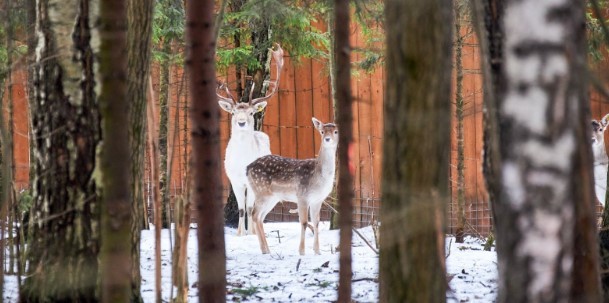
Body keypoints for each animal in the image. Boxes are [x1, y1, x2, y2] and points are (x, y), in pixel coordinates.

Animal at [218, 43, 284, 238]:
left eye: (251, 112)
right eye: (233, 112)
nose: (241, 122)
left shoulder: (251, 181)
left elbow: (248, 207)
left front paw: (250, 234)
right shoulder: (234, 179)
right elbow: (241, 209)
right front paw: (240, 234)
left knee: (256, 208)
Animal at [246, 117, 338, 255]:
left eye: (335, 132)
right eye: (322, 131)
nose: (327, 139)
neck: (318, 177)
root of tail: (247, 168)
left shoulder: (317, 199)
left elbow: (316, 222)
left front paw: (317, 251)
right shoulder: (302, 195)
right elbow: (304, 222)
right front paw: (302, 251)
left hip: (271, 197)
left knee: (260, 217)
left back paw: (267, 249)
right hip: (261, 191)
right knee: (255, 214)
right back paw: (264, 249)